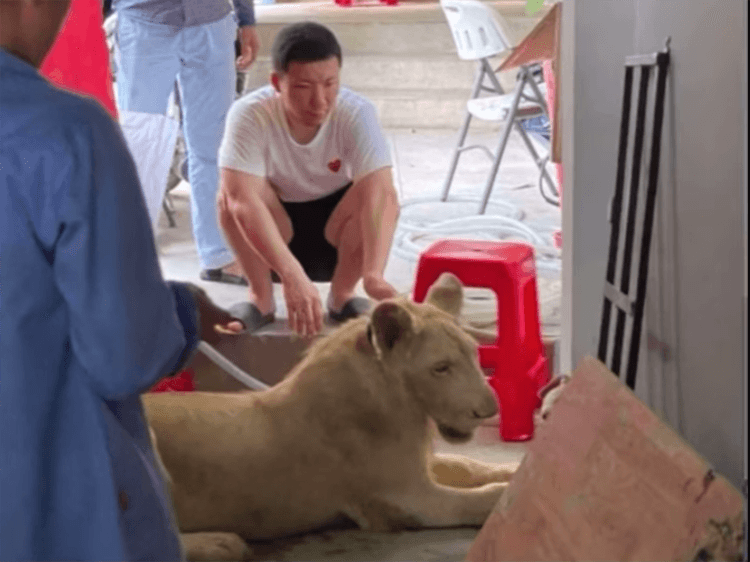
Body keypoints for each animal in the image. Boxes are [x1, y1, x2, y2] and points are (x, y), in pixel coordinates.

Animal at [148, 272, 524, 556]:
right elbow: (481, 498)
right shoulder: (406, 499)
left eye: (475, 355)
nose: (489, 411)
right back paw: (221, 543)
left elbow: (467, 465)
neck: (403, 406)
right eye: (441, 368)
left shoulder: (416, 466)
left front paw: (514, 468)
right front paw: (508, 492)